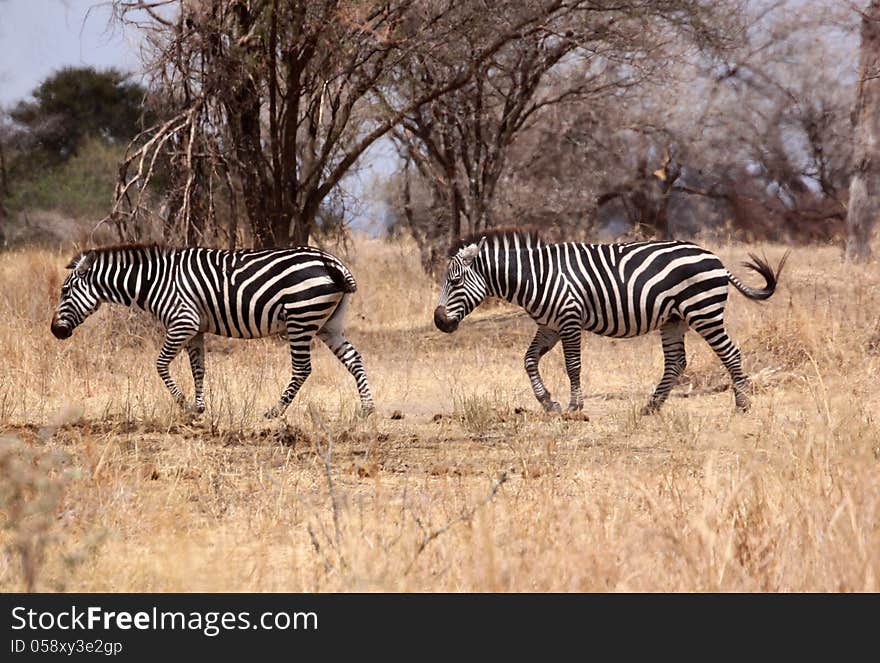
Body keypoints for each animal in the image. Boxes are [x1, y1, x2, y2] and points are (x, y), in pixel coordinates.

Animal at [50, 244, 374, 420]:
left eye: (65, 291)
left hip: (301, 317)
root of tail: (329, 261)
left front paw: (184, 404)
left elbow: (160, 364)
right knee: (354, 359)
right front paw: (199, 407)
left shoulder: (183, 321)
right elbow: (199, 369)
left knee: (303, 368)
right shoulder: (196, 329)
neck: (155, 281)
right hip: (328, 324)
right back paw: (367, 408)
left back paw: (275, 411)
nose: (55, 332)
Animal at [436, 231, 788, 412]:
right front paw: (547, 402)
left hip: (704, 311)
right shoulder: (548, 326)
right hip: (674, 319)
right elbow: (529, 360)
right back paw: (651, 406)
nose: (439, 322)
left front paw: (575, 406)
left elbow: (572, 365)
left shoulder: (568, 318)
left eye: (454, 282)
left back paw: (742, 403)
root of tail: (716, 259)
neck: (535, 277)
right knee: (676, 362)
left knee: (730, 353)